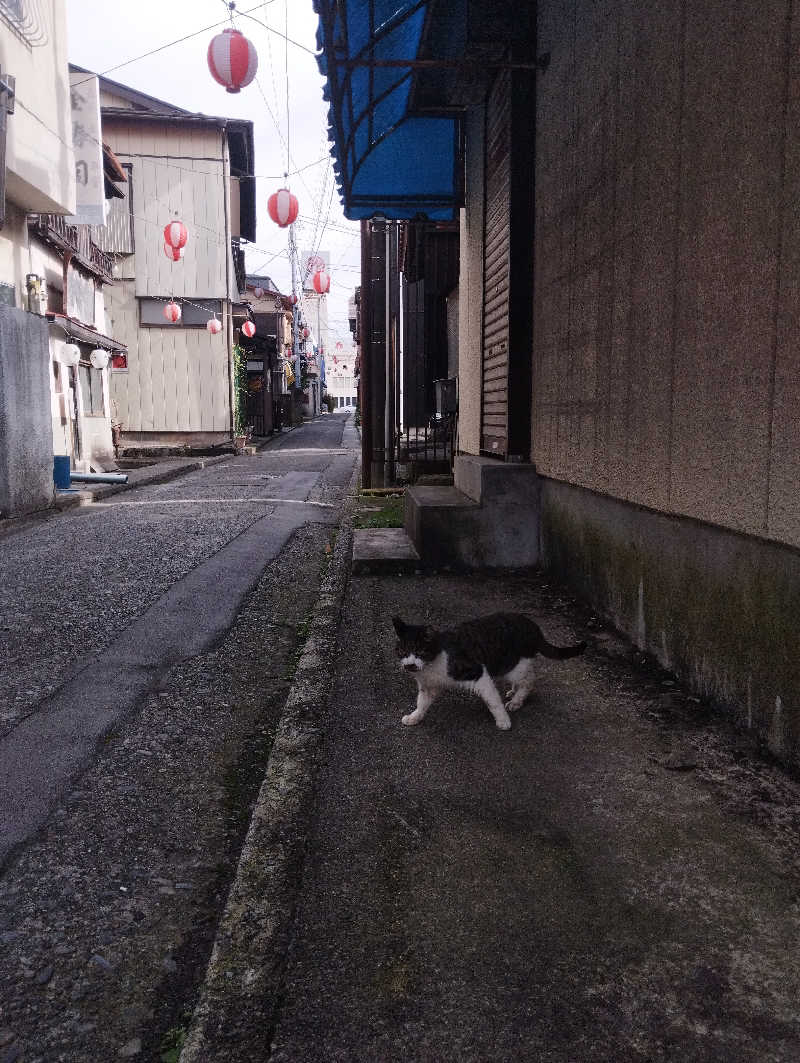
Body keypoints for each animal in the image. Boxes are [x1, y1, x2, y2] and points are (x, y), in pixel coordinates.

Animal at [390, 612, 582, 727]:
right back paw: (513, 692)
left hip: (513, 665)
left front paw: (503, 721)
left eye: (420, 652)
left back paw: (517, 701)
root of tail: (534, 627)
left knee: (529, 681)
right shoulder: (428, 686)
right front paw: (414, 717)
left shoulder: (477, 672)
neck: (432, 664)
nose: (410, 665)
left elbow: (492, 700)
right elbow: (421, 703)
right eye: (403, 651)